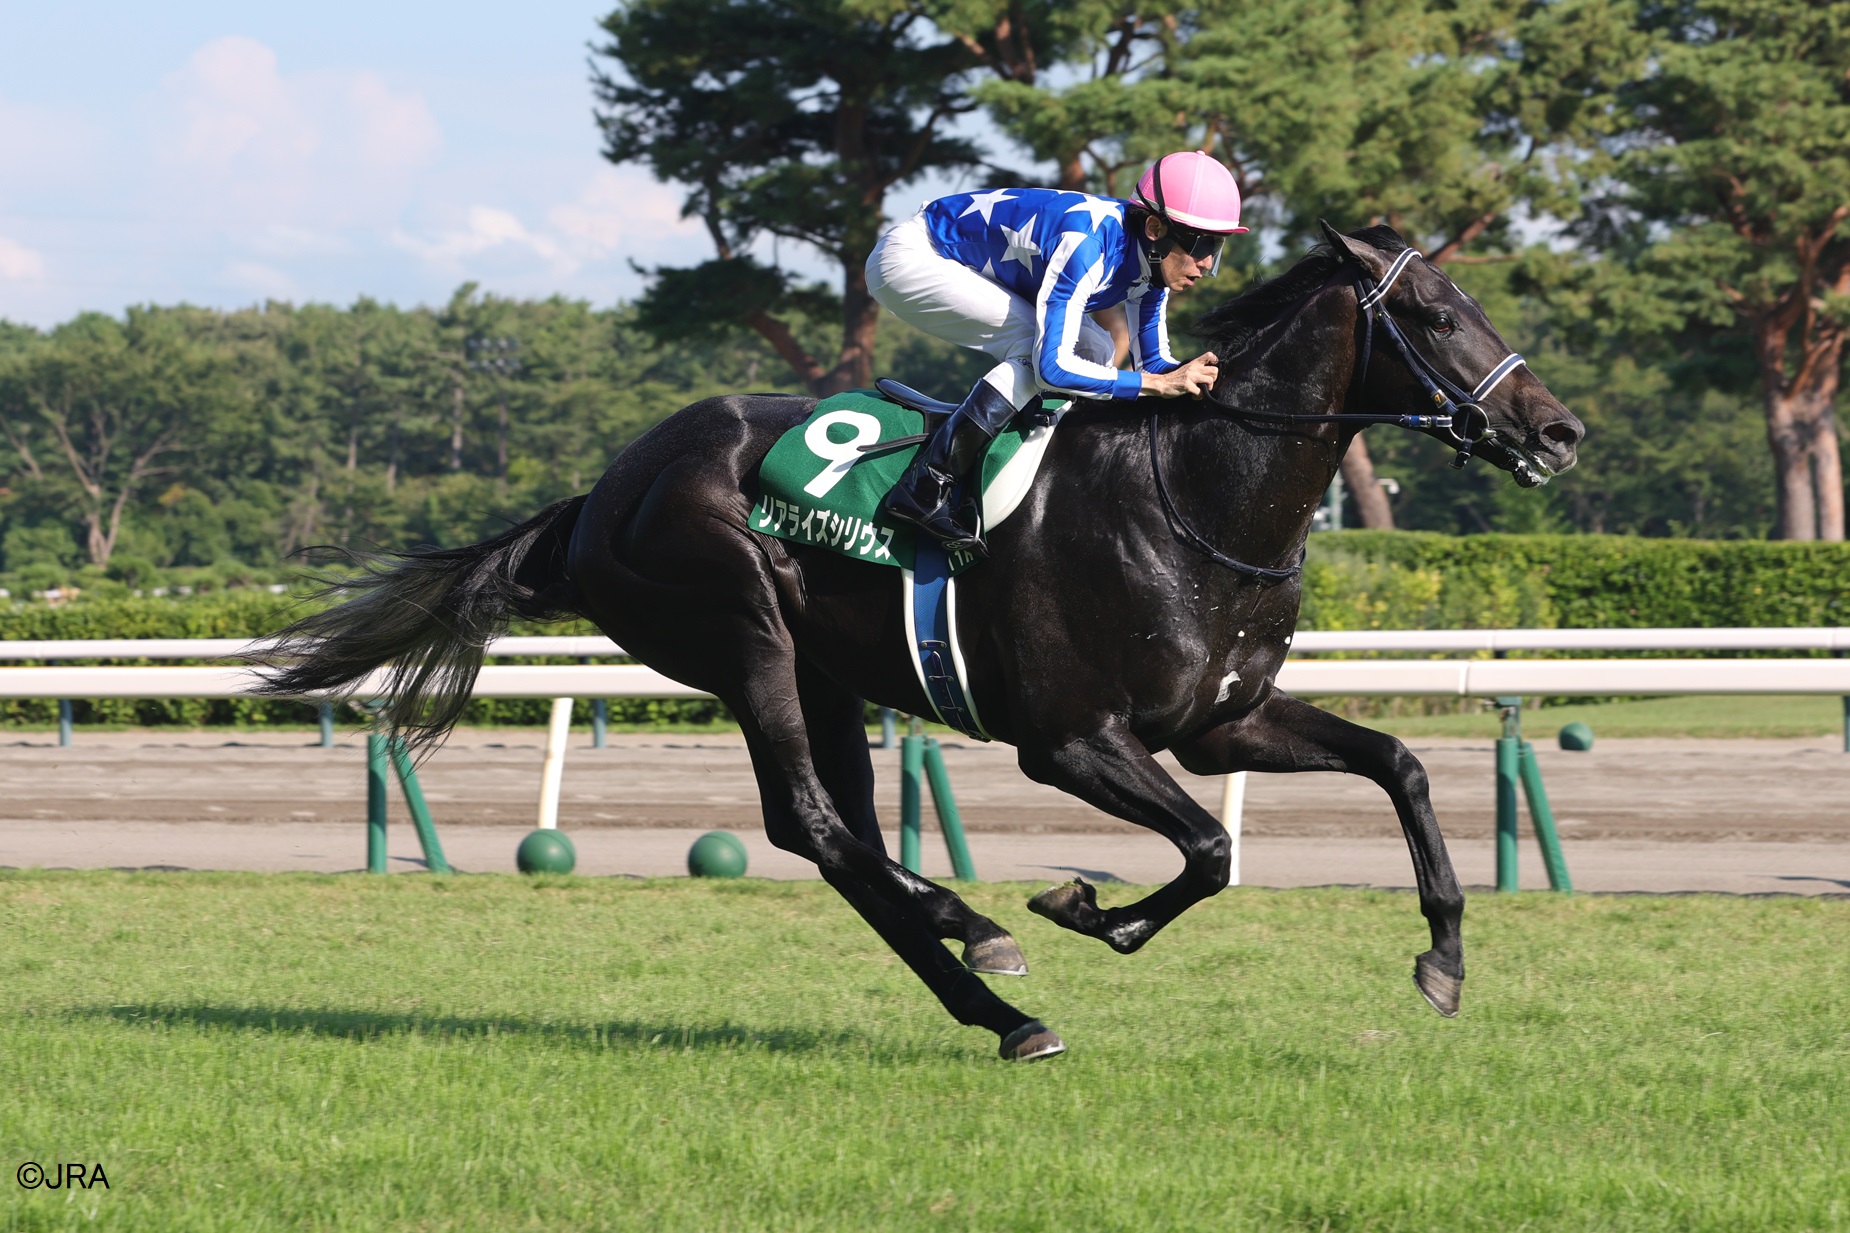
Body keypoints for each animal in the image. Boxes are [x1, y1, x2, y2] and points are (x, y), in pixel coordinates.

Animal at [261, 224, 1584, 1062]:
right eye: (1432, 315)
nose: (1555, 430)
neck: (1191, 494)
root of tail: (596, 496)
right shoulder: (1069, 739)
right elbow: (1209, 850)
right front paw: (1091, 911)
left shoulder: (1218, 721)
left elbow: (1396, 766)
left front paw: (1443, 962)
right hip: (741, 635)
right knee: (810, 824)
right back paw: (998, 1003)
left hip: (826, 673)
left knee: (837, 828)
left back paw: (965, 926)